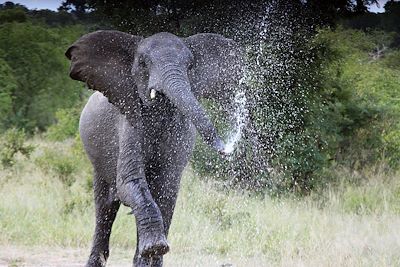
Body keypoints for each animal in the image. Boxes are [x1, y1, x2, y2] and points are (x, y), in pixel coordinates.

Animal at [65, 30, 244, 266]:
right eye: (143, 63)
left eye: (190, 66)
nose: (227, 148)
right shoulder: (129, 120)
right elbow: (130, 181)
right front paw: (154, 247)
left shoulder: (179, 130)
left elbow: (166, 190)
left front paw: (151, 252)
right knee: (105, 208)